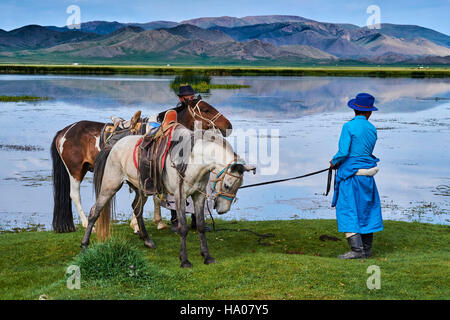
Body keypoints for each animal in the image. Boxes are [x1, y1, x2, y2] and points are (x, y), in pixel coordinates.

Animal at [51, 97, 230, 232]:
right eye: (205, 110)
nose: (229, 125)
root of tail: (64, 131)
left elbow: (153, 196)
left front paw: (156, 222)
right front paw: (137, 224)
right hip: (75, 171)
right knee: (74, 195)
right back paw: (88, 224)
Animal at [82, 125, 255, 268]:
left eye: (237, 187)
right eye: (226, 185)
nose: (222, 210)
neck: (194, 161)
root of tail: (114, 145)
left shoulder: (198, 196)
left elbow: (200, 225)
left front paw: (207, 256)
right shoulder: (180, 196)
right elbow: (183, 227)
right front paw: (184, 260)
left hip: (142, 189)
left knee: (137, 208)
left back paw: (147, 240)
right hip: (110, 185)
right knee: (94, 212)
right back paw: (84, 244)